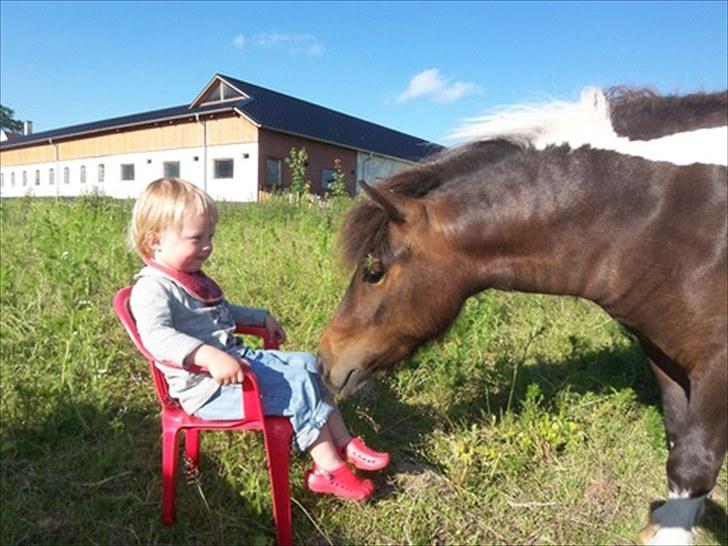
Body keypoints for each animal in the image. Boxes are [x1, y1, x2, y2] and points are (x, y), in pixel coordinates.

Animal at [318, 87, 728, 540]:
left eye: (373, 271)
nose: (324, 359)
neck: (664, 216)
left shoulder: (717, 367)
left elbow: (691, 466)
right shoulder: (665, 358)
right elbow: (679, 445)